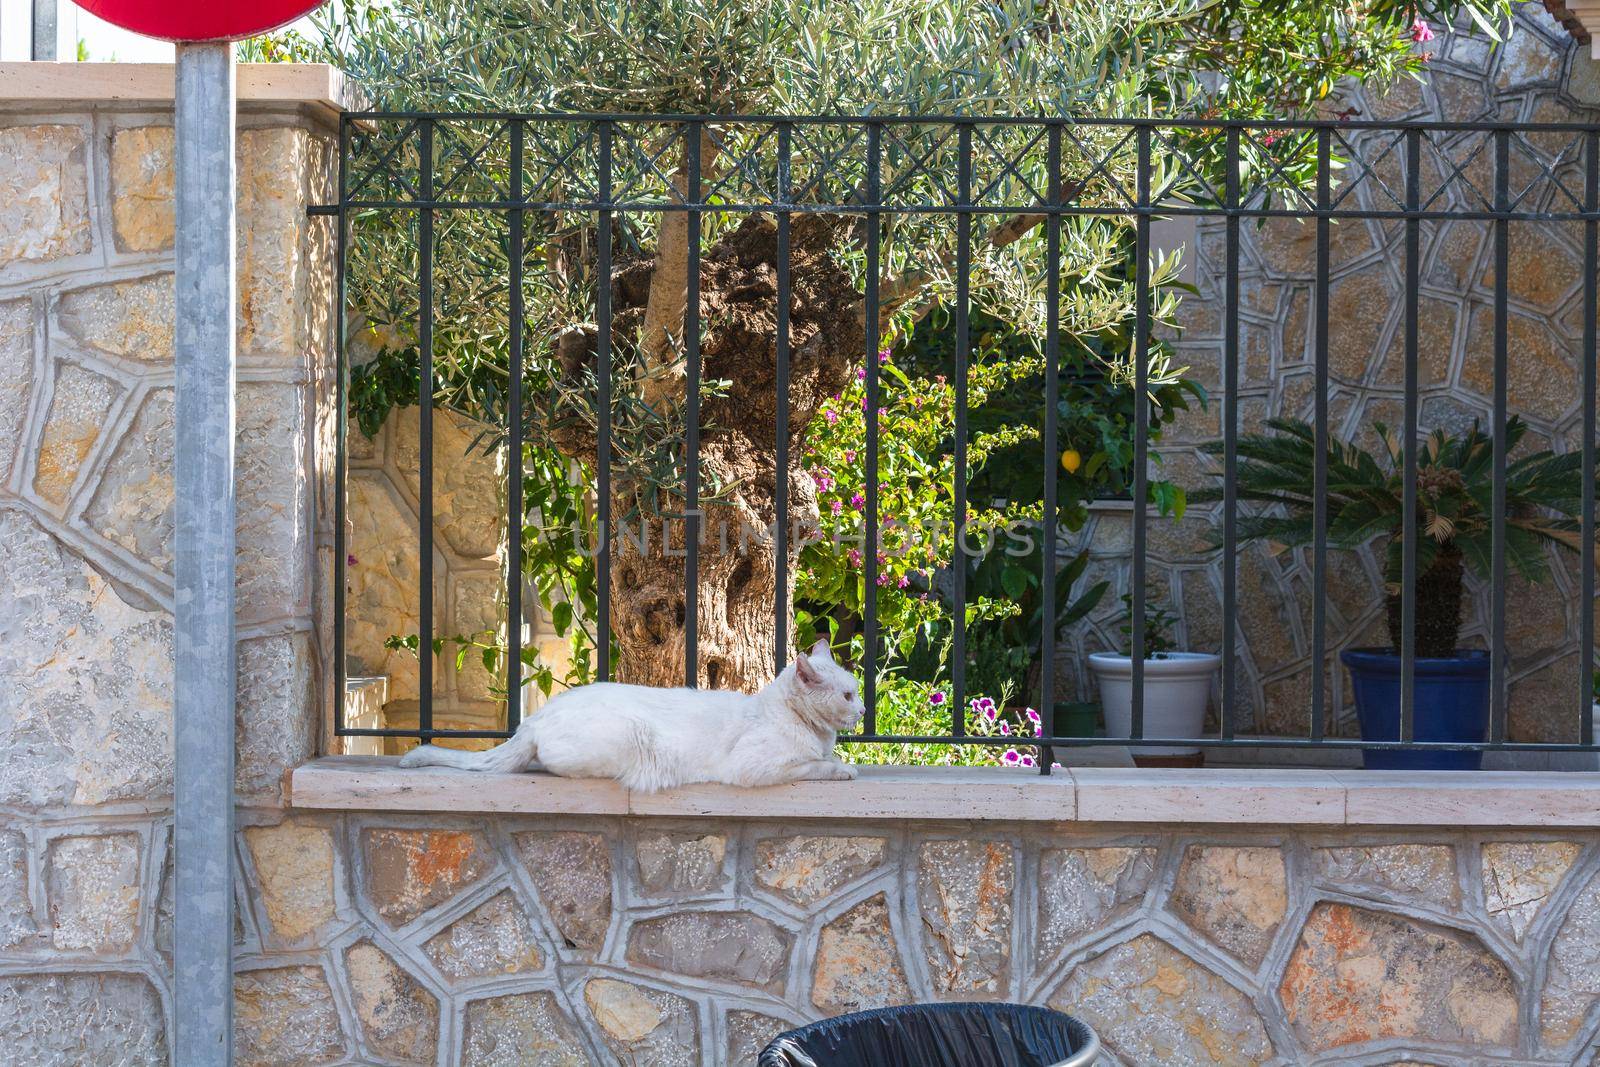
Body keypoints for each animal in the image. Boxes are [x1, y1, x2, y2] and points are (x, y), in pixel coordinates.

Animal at [398, 633, 870, 793]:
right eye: (848, 695)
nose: (865, 710)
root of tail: (535, 718)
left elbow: (821, 757)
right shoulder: (754, 767)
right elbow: (812, 765)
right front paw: (842, 768)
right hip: (628, 738)